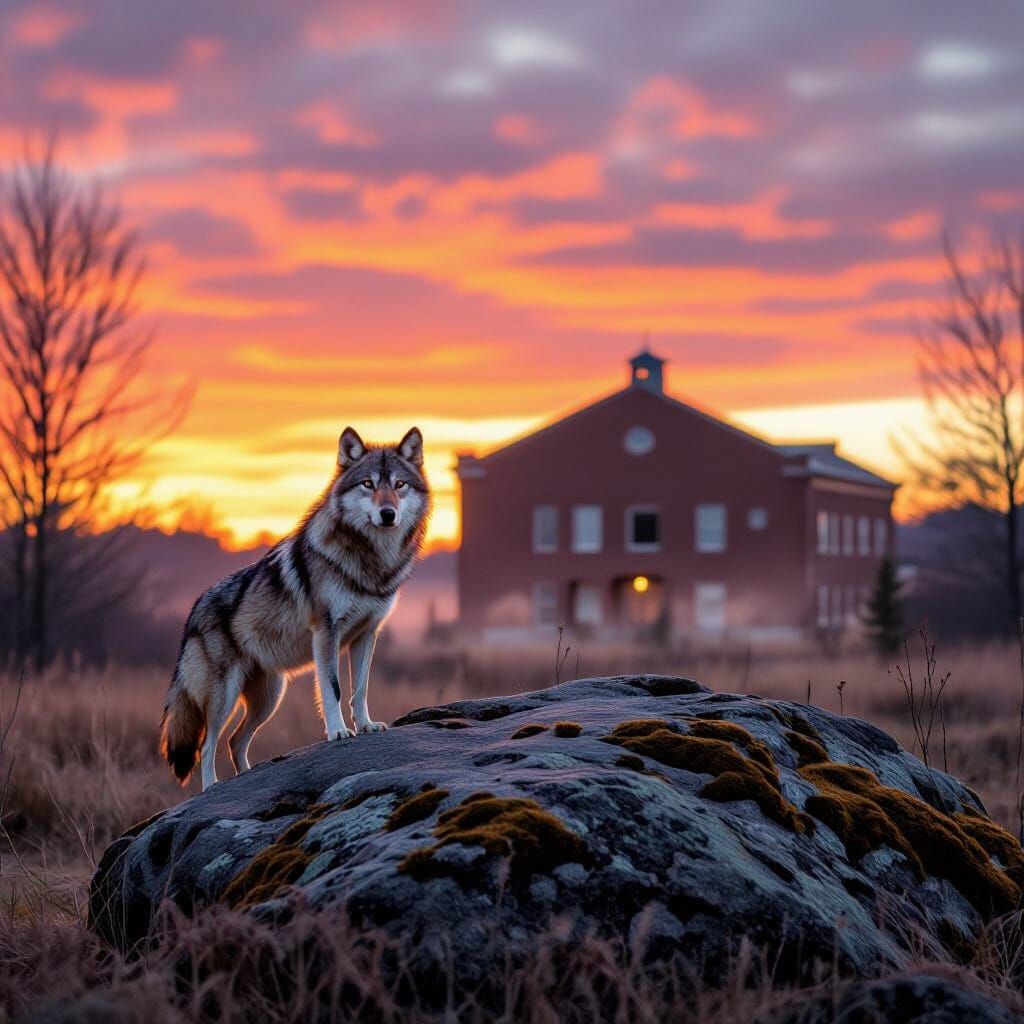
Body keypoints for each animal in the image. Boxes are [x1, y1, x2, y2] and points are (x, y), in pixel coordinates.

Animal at [160, 426, 430, 790]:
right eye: (368, 484)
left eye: (399, 485)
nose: (388, 514)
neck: (371, 561)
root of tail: (193, 610)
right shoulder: (326, 632)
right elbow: (333, 688)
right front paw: (339, 732)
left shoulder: (367, 634)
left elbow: (360, 689)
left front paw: (367, 725)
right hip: (224, 698)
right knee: (207, 745)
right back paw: (212, 787)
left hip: (270, 698)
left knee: (234, 741)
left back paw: (245, 778)